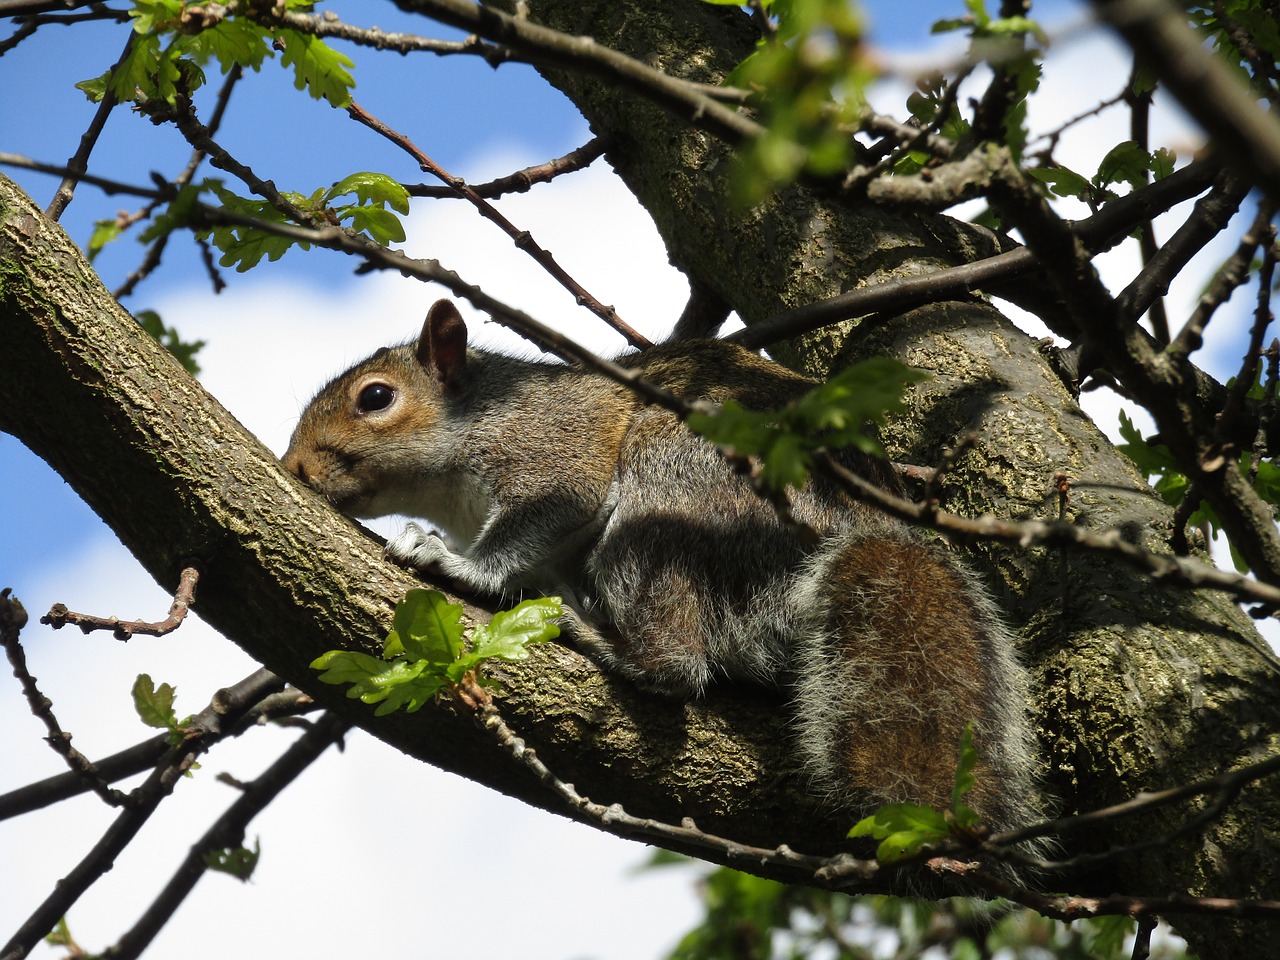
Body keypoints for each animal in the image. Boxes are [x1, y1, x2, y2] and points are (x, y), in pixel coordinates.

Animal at [282, 300, 1039, 834]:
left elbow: (541, 516)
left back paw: (608, 642)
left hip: (674, 488)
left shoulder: (557, 450)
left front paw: (456, 563)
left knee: (679, 664)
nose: (295, 468)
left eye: (375, 398)